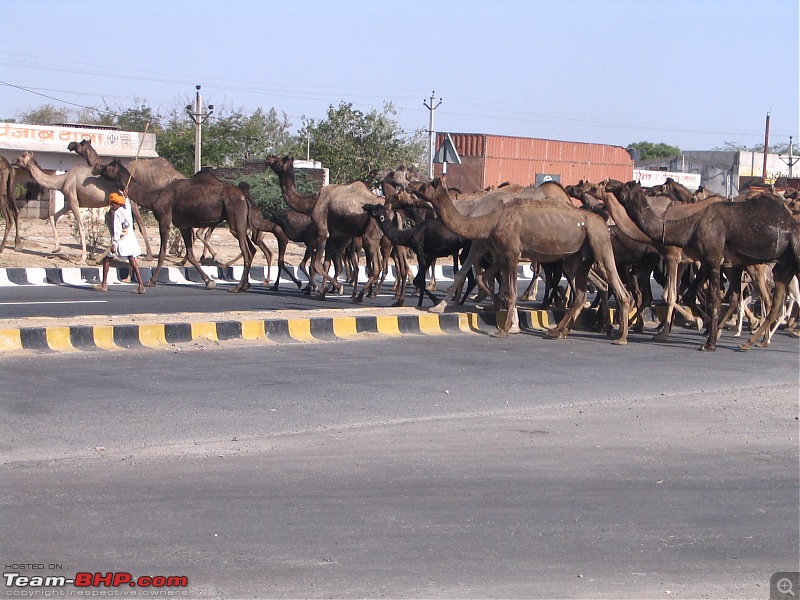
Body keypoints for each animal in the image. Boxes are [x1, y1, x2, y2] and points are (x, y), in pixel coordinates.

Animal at [12, 150, 152, 262]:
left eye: (21, 157)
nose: (13, 161)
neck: (62, 181)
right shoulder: (70, 202)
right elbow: (53, 216)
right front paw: (56, 249)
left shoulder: (73, 199)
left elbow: (80, 227)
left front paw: (81, 259)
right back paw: (101, 259)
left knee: (122, 230)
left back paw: (98, 259)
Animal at [93, 158, 256, 292]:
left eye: (109, 165)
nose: (95, 168)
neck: (154, 197)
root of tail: (244, 195)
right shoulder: (183, 225)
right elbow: (190, 255)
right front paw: (208, 281)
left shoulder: (164, 219)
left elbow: (162, 253)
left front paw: (151, 281)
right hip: (241, 222)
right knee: (251, 249)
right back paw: (245, 285)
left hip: (235, 219)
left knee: (246, 251)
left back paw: (238, 287)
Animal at [612, 183, 800, 352]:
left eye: (623, 187)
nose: (609, 186)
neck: (689, 226)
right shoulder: (716, 263)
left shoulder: (710, 260)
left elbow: (713, 299)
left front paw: (709, 342)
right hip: (782, 266)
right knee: (771, 302)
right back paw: (751, 342)